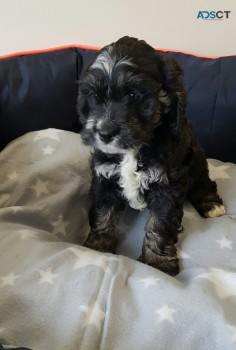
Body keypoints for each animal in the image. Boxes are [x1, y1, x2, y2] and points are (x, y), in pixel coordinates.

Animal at [77, 36, 225, 276]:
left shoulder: (167, 186)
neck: (133, 149)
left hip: (196, 159)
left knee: (204, 183)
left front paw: (158, 264)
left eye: (133, 95)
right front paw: (97, 248)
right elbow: (102, 213)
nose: (105, 133)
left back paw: (211, 205)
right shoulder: (104, 177)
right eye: (95, 96)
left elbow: (160, 225)